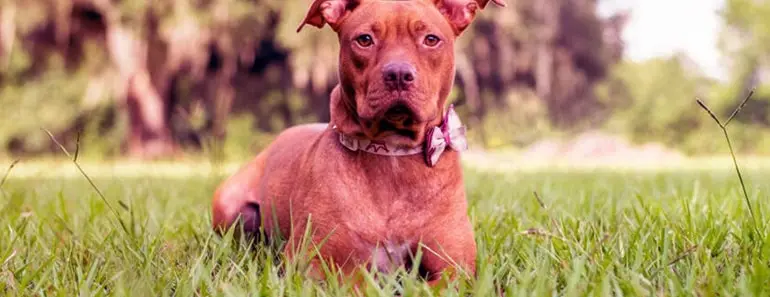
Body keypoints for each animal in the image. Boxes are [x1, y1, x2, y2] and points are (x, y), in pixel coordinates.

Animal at [210, 0, 504, 286]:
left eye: (431, 39)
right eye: (364, 39)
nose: (398, 74)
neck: (392, 152)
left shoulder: (455, 269)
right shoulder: (310, 264)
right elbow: (354, 283)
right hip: (229, 207)